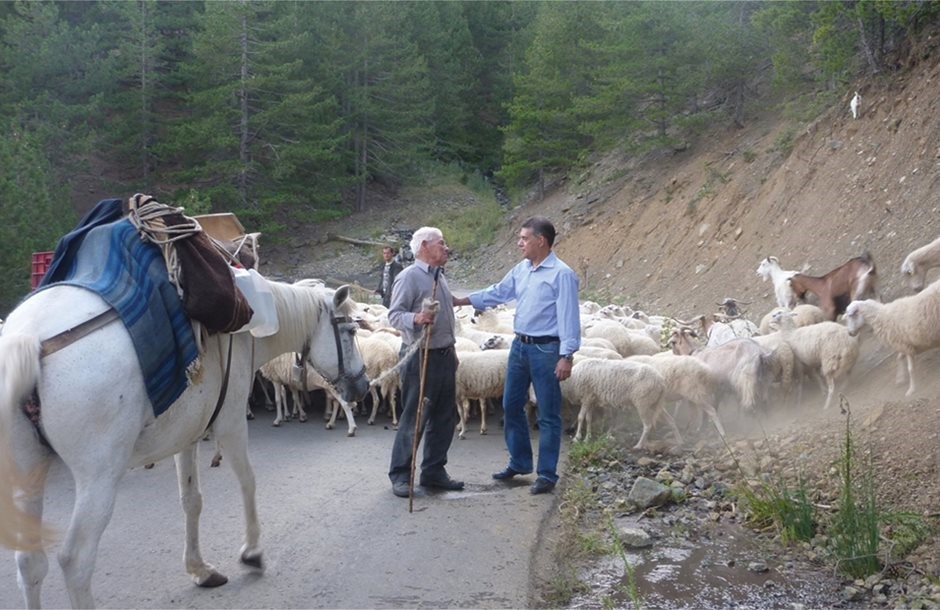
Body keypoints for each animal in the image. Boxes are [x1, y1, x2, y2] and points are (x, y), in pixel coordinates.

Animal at [0, 278, 368, 604]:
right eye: (350, 332)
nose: (362, 386)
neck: (249, 329)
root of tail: (28, 339)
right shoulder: (231, 424)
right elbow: (248, 481)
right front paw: (252, 553)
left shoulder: (187, 436)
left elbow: (191, 500)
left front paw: (199, 569)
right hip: (98, 478)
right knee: (75, 561)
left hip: (29, 474)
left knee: (30, 563)